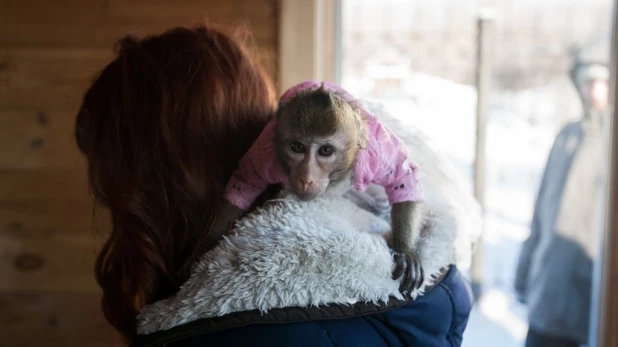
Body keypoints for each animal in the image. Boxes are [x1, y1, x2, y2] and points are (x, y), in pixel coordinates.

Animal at [211, 81, 424, 294]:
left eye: (326, 151)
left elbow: (403, 176)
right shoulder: (266, 157)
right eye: (297, 147)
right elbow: (244, 183)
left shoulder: (374, 155)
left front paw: (404, 251)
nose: (306, 178)